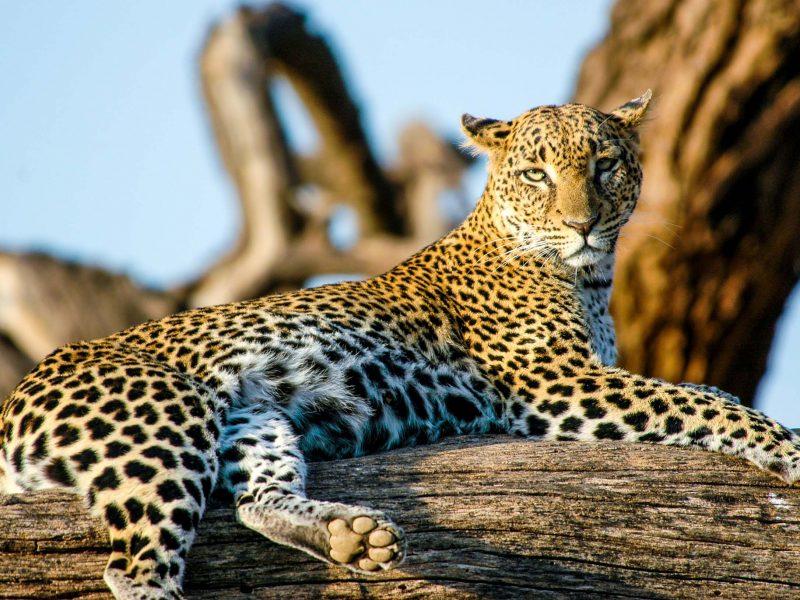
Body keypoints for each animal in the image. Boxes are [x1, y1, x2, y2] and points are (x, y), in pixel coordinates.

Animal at [1, 90, 800, 600]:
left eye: (605, 164)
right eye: (536, 174)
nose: (582, 225)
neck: (589, 278)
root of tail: (17, 397)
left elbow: (704, 392)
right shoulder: (555, 381)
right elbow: (699, 403)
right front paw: (786, 448)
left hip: (252, 414)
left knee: (255, 497)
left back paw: (351, 537)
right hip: (164, 421)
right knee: (137, 571)